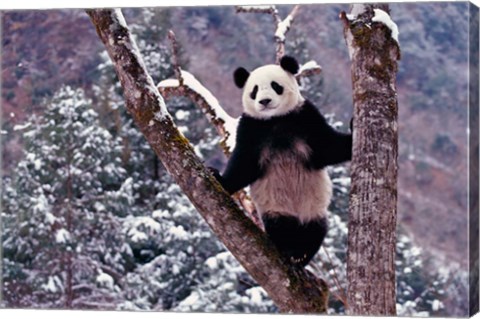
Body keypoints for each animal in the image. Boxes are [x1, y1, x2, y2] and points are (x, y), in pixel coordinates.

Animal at [214, 55, 352, 268]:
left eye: (275, 85)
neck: (275, 120)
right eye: (254, 90)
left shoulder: (304, 117)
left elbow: (329, 146)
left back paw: (301, 254)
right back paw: (289, 249)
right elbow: (244, 165)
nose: (264, 101)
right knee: (280, 226)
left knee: (315, 230)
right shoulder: (251, 128)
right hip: (276, 206)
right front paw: (220, 179)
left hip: (313, 207)